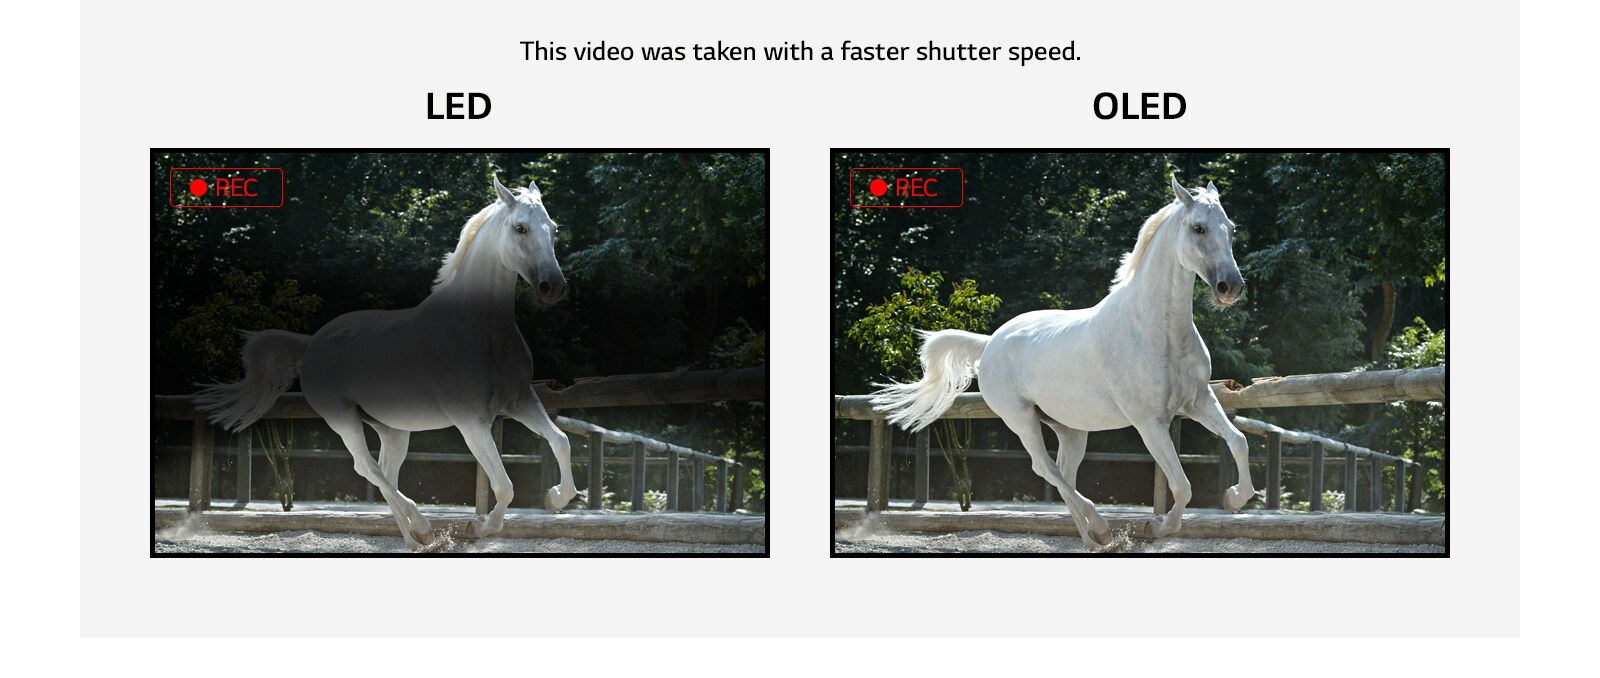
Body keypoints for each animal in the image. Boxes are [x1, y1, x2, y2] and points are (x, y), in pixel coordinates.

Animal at [194, 176, 575, 550]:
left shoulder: (521, 400)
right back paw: (422, 527)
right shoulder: (471, 422)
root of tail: (311, 344)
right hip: (343, 419)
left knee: (384, 472)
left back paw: (414, 539)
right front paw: (477, 528)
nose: (552, 287)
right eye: (520, 228)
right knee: (367, 468)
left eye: (554, 229)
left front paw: (555, 497)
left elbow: (560, 442)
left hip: (393, 429)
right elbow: (504, 486)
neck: (478, 333)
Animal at [870, 176, 1253, 549]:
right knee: (1045, 468)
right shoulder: (1150, 422)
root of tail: (990, 342)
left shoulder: (1199, 401)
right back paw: (1099, 527)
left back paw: (1093, 539)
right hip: (1021, 419)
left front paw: (1233, 498)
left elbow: (1238, 442)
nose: (1230, 287)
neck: (1155, 330)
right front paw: (1155, 528)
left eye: (1232, 228)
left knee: (1062, 473)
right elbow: (1182, 486)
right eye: (1198, 228)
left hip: (1070, 430)